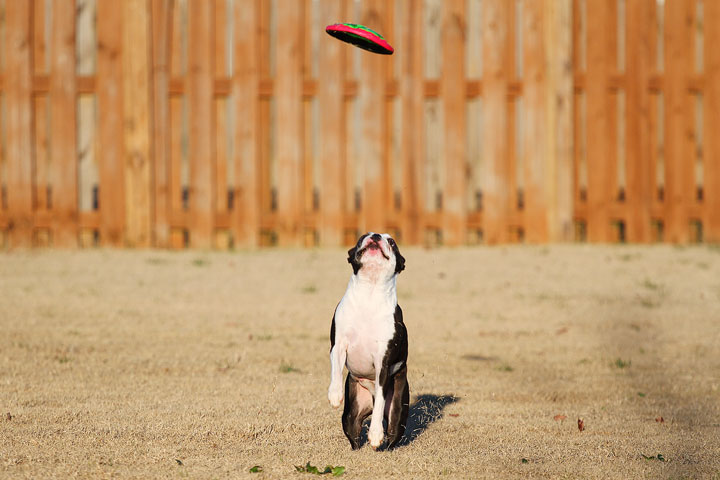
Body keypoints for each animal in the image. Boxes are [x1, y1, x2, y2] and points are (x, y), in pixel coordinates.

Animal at [328, 232, 408, 450]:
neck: (370, 295)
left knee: (392, 431)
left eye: (392, 242)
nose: (376, 236)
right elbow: (335, 369)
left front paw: (375, 434)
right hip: (351, 413)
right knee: (353, 433)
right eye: (362, 237)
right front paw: (334, 394)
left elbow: (381, 401)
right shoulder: (338, 345)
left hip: (397, 410)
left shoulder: (383, 362)